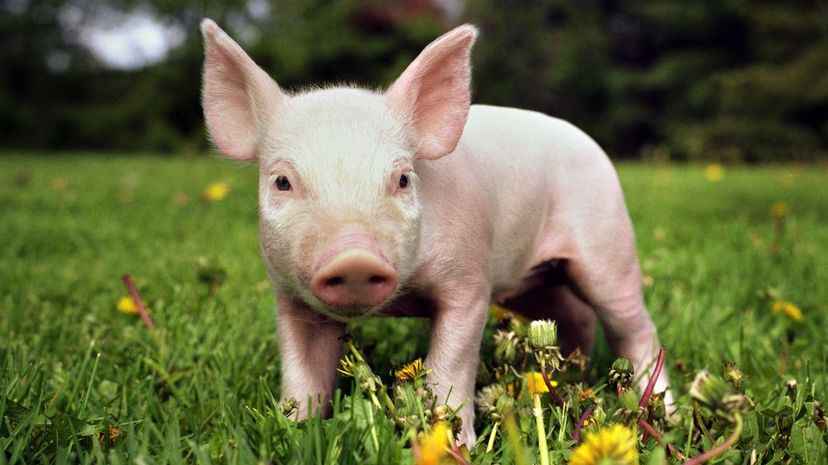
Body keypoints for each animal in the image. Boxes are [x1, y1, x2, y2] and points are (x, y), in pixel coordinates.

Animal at [200, 19, 671, 446]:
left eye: (403, 179)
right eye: (282, 182)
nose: (355, 258)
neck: (401, 303)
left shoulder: (470, 282)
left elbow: (451, 362)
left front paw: (452, 443)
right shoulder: (289, 296)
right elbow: (303, 373)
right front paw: (294, 431)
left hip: (608, 244)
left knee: (633, 326)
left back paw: (662, 408)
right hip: (535, 282)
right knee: (575, 316)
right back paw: (569, 379)